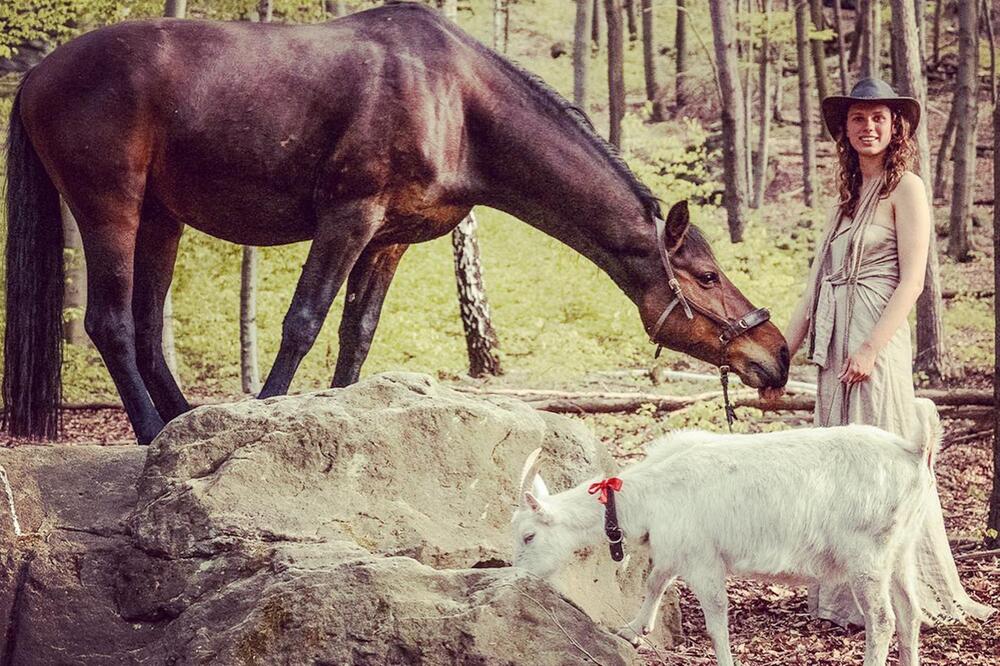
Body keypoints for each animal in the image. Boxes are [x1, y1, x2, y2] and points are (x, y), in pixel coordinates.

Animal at [5, 5, 788, 444]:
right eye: (707, 276)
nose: (776, 355)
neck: (458, 105)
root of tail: (39, 75)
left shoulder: (390, 241)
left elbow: (357, 333)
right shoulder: (348, 218)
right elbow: (304, 321)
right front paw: (266, 418)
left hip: (161, 220)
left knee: (143, 329)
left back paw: (177, 423)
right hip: (110, 206)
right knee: (108, 323)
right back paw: (148, 432)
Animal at [512, 396, 940, 660]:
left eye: (529, 535)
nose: (518, 576)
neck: (650, 494)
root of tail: (914, 450)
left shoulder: (704, 559)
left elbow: (716, 620)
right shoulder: (675, 551)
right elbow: (655, 582)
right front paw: (632, 629)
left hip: (868, 555)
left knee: (882, 620)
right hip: (901, 549)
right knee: (911, 614)